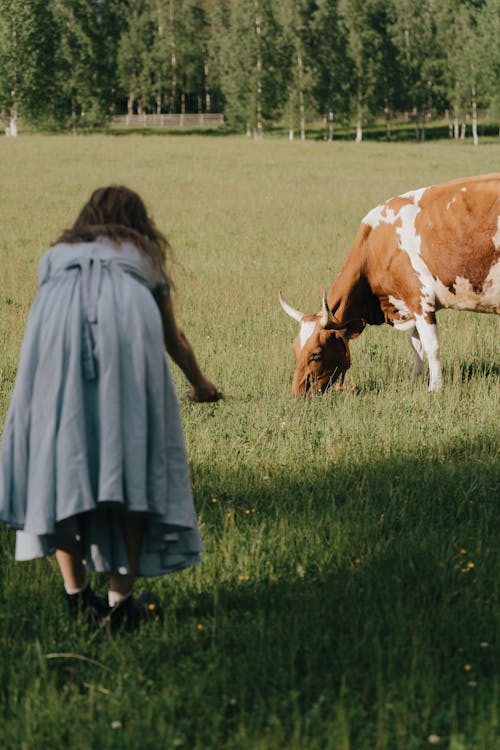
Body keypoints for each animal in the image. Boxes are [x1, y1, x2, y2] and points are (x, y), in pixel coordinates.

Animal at [282, 175, 500, 400]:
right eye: (294, 348)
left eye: (316, 354)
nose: (296, 394)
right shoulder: (408, 303)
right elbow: (415, 344)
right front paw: (416, 380)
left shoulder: (420, 300)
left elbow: (431, 346)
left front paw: (435, 387)